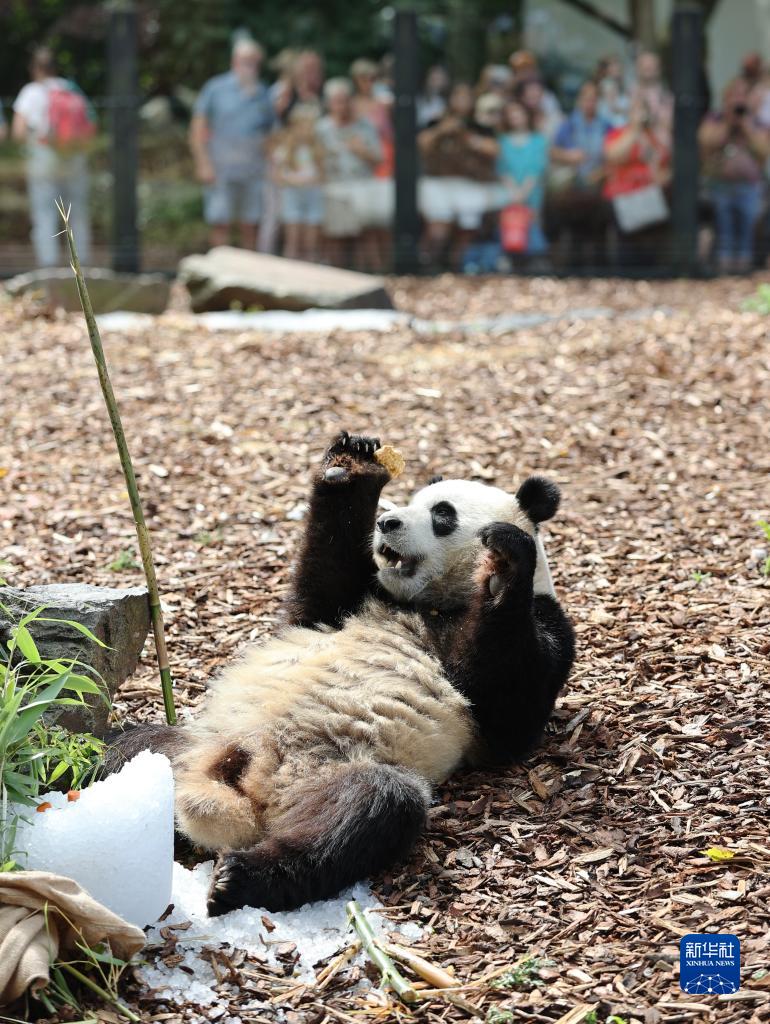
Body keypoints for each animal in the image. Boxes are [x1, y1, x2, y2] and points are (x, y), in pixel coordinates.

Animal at [111, 432, 573, 913]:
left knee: (366, 811)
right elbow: (318, 588)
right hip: (192, 743)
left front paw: (501, 565)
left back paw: (238, 879)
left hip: (327, 772)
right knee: (127, 746)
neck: (429, 602)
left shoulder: (542, 628)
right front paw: (353, 464)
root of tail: (245, 791)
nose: (387, 522)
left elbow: (511, 712)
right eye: (410, 501)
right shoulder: (348, 602)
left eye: (442, 515)